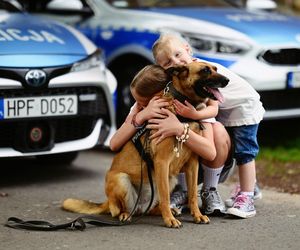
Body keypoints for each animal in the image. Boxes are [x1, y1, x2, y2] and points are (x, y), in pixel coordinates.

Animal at [62, 61, 229, 229]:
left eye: (215, 68)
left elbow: (193, 194)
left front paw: (197, 215)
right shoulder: (162, 162)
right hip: (121, 179)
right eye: (205, 70)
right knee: (122, 210)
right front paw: (169, 220)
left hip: (170, 179)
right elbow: (166, 197)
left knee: (151, 207)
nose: (227, 80)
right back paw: (127, 215)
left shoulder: (192, 164)